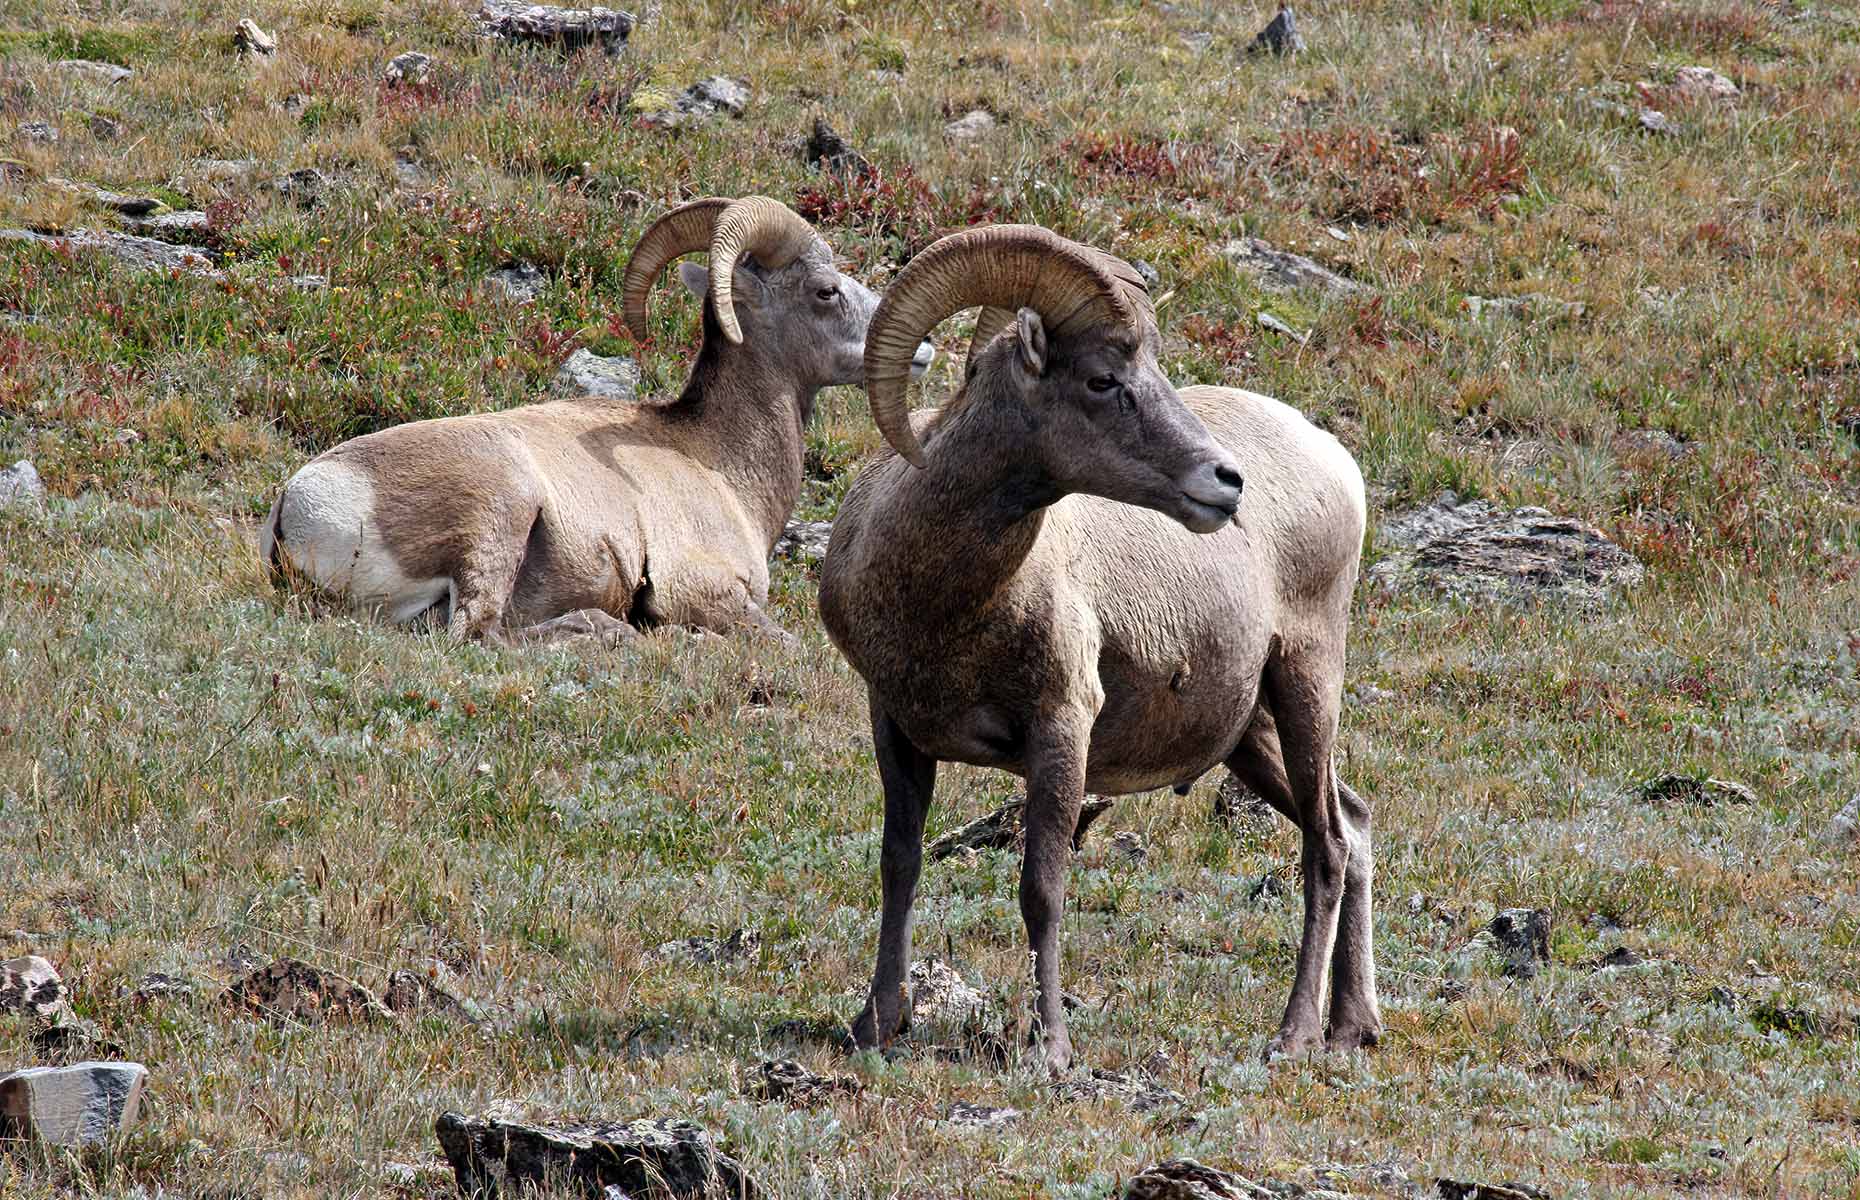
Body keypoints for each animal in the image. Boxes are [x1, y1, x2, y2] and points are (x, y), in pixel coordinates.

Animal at [265, 196, 926, 640]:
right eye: (825, 290)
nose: (921, 349)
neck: (719, 463)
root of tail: (299, 505)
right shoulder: (707, 592)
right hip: (500, 512)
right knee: (480, 632)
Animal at [822, 222, 1376, 1064]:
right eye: (1102, 380)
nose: (1226, 482)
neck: (947, 604)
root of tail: (1336, 462)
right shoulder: (896, 727)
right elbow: (900, 867)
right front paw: (877, 1024)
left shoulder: (1062, 730)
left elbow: (1042, 889)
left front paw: (1049, 1047)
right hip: (1250, 736)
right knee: (1356, 826)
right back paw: (1353, 1026)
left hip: (1307, 686)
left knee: (1328, 848)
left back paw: (1296, 1034)